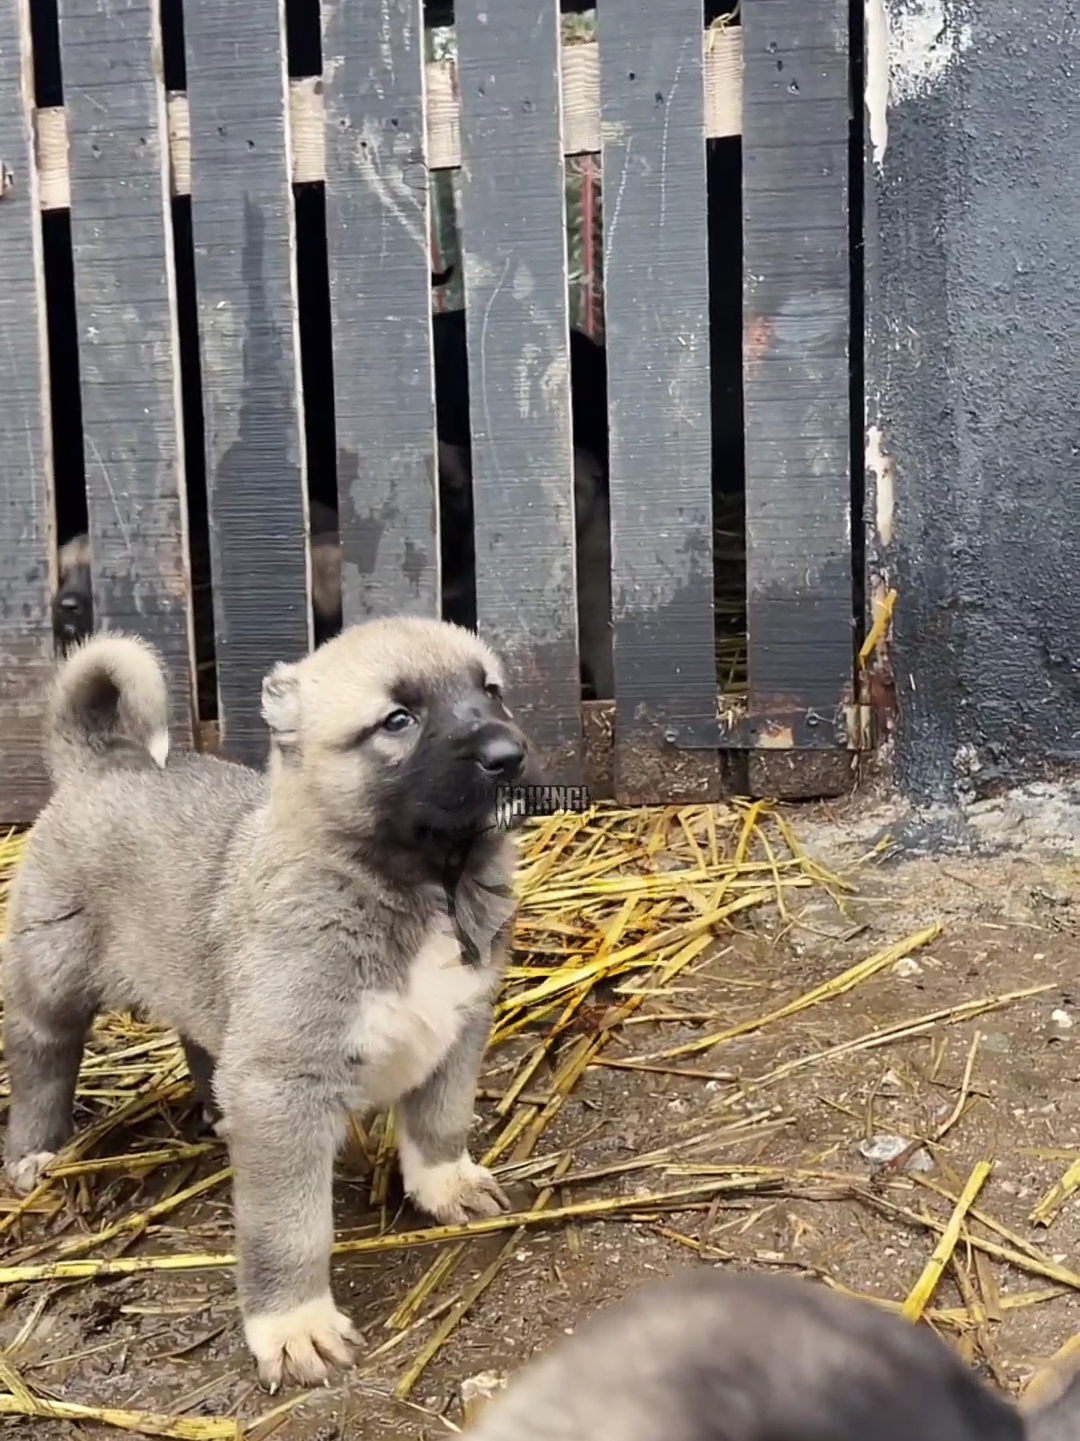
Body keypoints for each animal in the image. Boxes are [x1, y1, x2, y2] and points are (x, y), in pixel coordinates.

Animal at [0, 613, 539, 1389]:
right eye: (397, 720)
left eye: (490, 689)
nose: (508, 753)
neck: (416, 885)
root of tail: (102, 758)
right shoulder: (282, 1082)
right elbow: (289, 1226)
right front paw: (294, 1325)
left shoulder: (459, 1026)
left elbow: (440, 1120)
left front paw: (446, 1183)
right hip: (51, 972)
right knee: (41, 1055)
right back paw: (35, 1152)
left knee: (202, 1042)